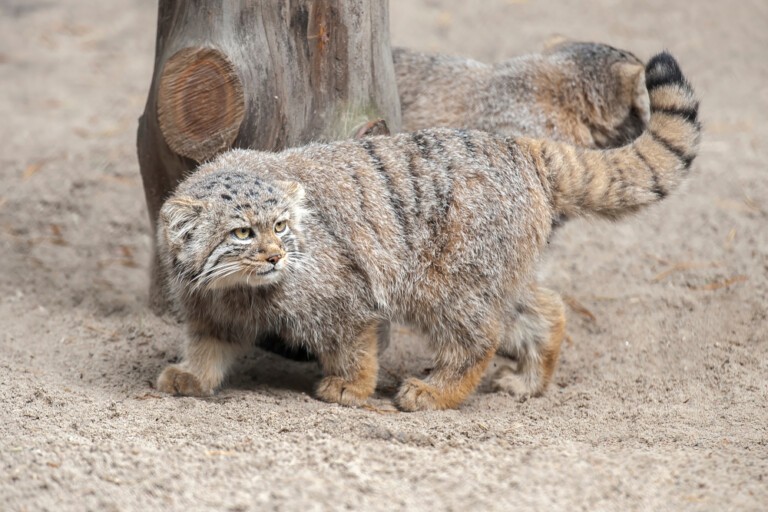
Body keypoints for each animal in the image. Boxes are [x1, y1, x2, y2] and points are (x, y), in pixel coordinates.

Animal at [156, 53, 704, 412]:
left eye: (281, 226)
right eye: (242, 233)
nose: (275, 257)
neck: (238, 289)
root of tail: (521, 147)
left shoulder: (344, 295)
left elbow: (354, 344)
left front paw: (351, 387)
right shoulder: (212, 310)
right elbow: (208, 347)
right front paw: (193, 375)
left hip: (445, 282)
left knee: (479, 338)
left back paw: (438, 390)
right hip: (491, 273)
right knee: (545, 307)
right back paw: (531, 379)